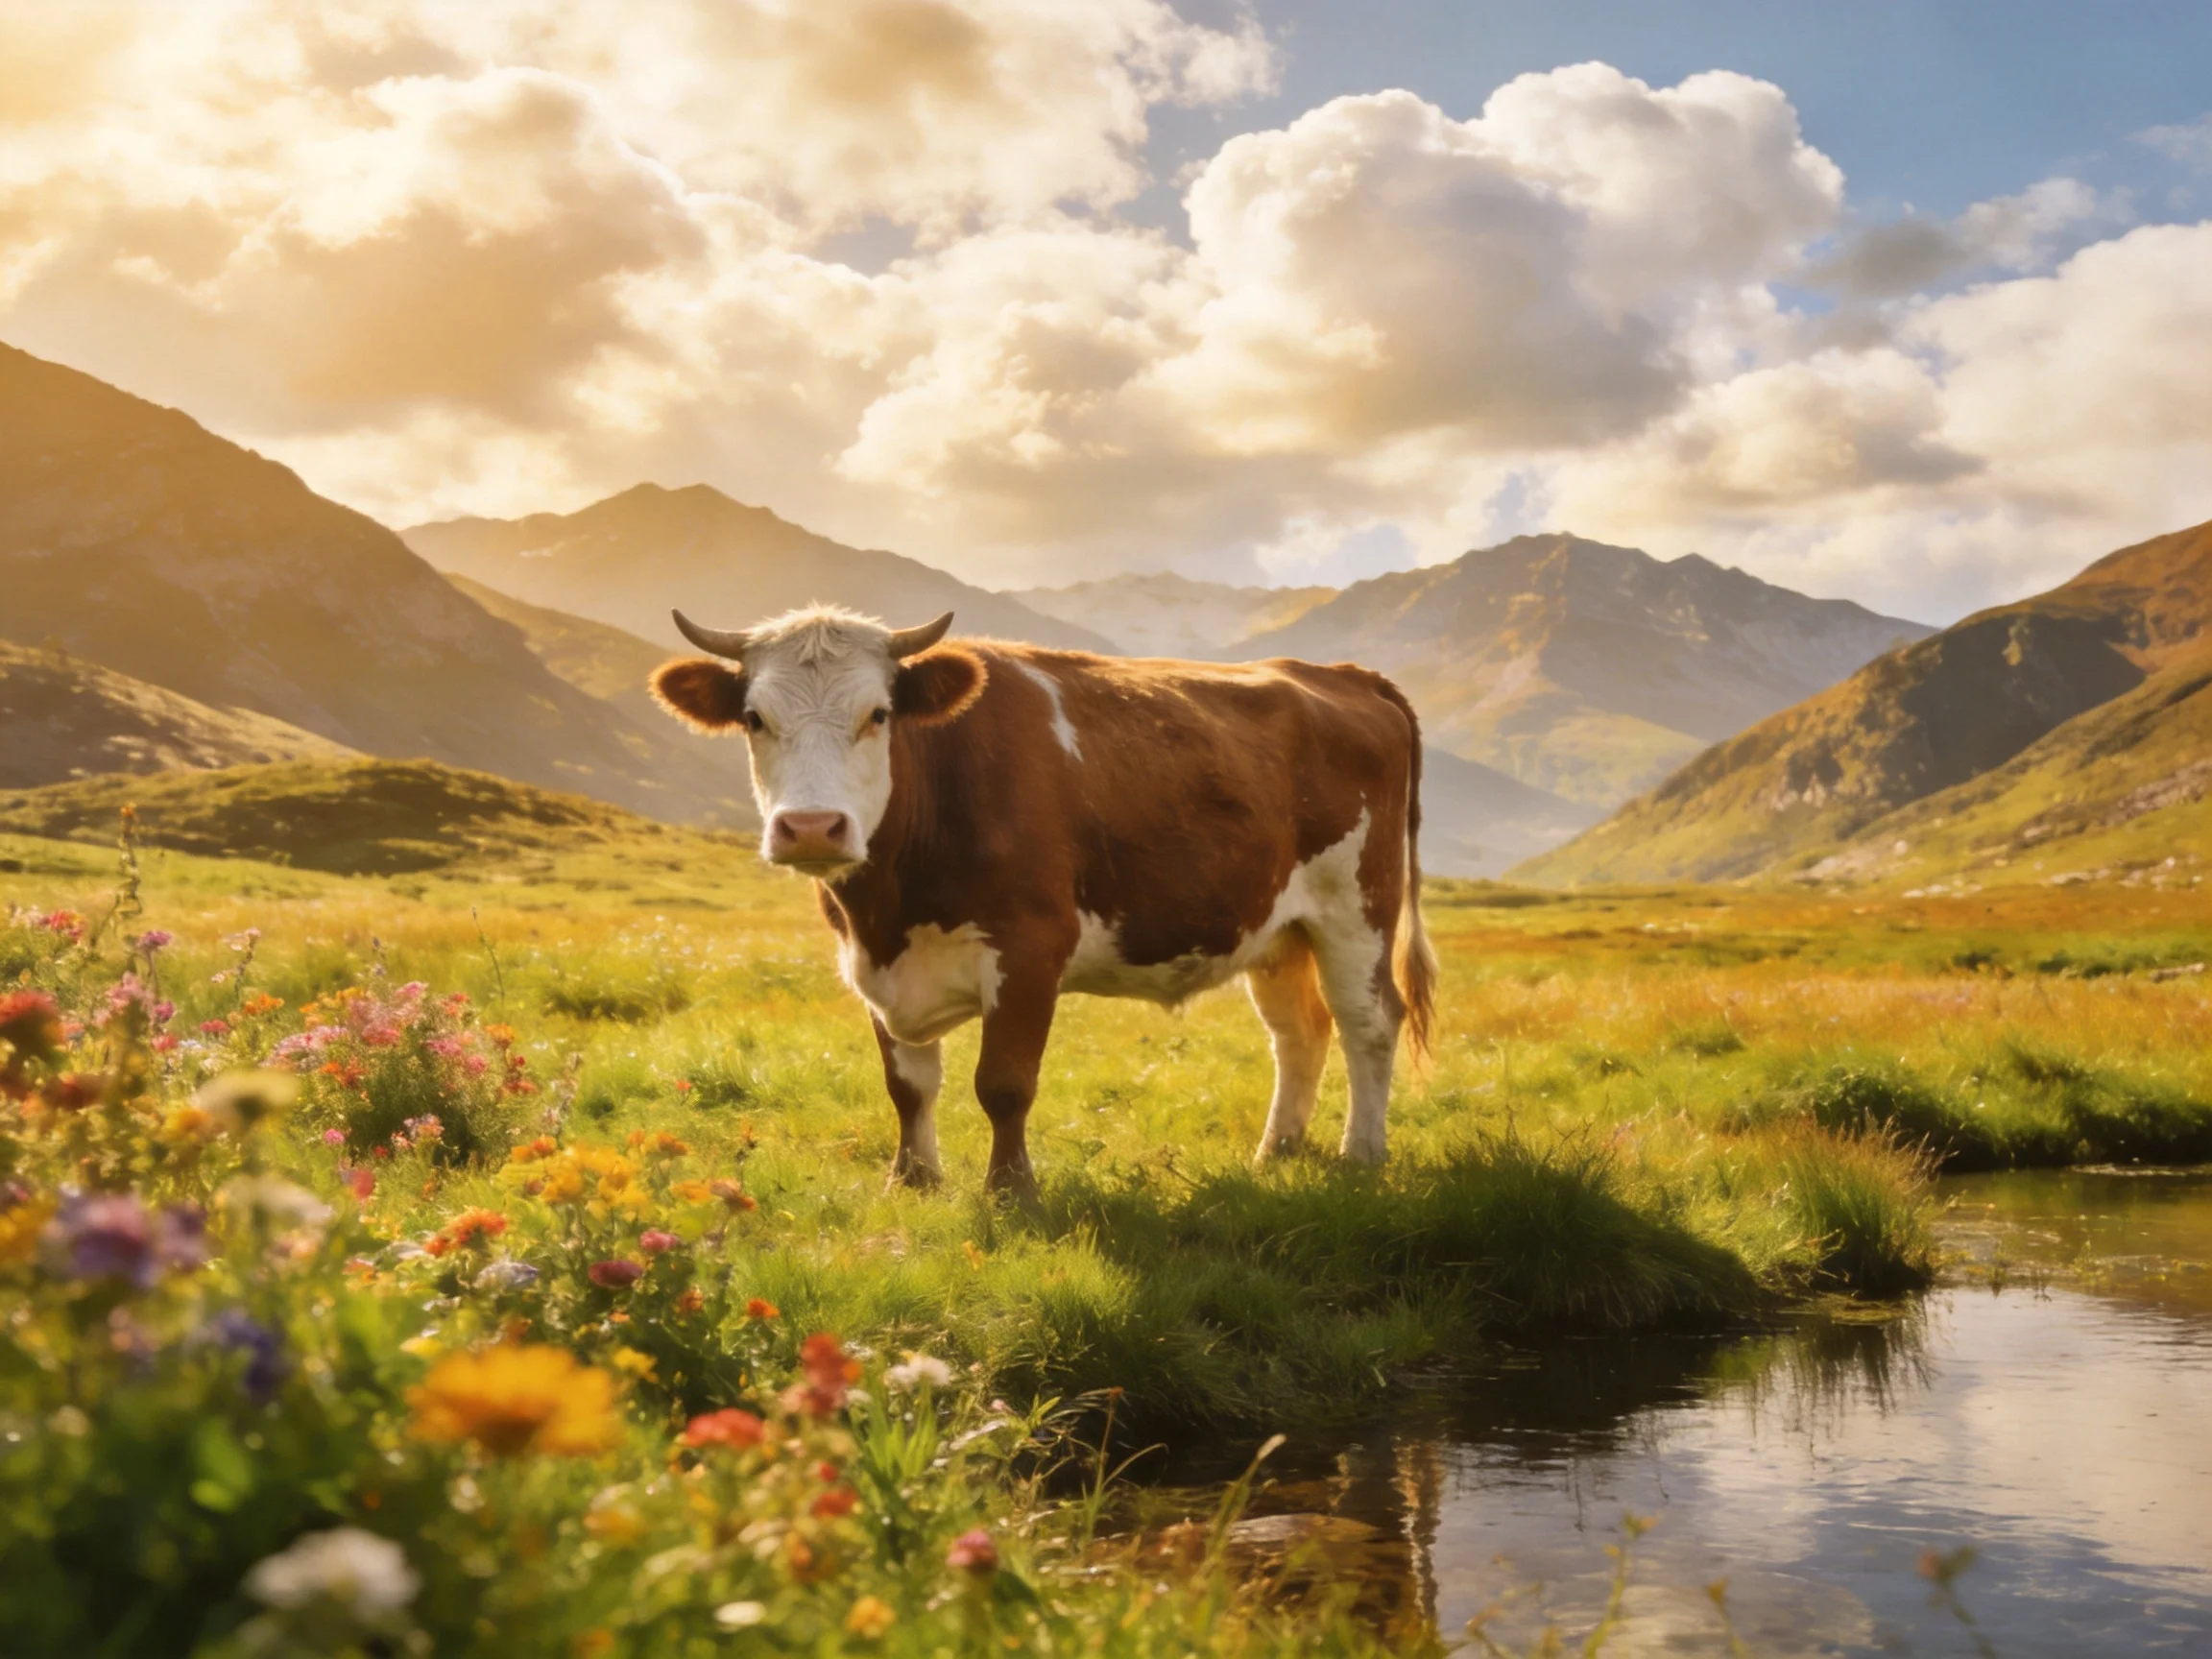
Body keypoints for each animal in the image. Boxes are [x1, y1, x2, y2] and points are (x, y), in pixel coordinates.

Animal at [650, 605, 1436, 1197]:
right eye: (755, 718)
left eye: (878, 714)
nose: (812, 826)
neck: (889, 908)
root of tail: (1339, 674)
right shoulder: (871, 962)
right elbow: (908, 1085)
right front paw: (913, 1182)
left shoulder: (1029, 949)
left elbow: (1003, 1084)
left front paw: (1011, 1192)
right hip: (1278, 927)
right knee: (1299, 1030)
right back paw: (1276, 1153)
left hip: (1357, 906)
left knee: (1369, 1021)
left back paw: (1361, 1157)